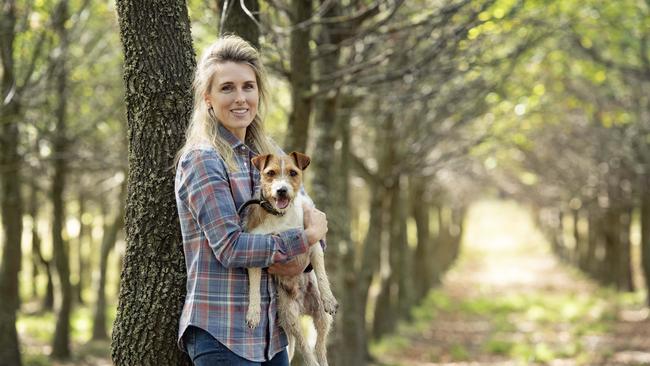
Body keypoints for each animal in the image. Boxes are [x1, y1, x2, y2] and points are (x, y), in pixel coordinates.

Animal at [240, 151, 336, 366]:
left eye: (293, 172)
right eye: (270, 173)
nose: (281, 190)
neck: (279, 216)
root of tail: (302, 308)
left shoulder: (312, 242)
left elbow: (321, 273)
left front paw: (329, 297)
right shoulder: (254, 251)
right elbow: (254, 287)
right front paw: (253, 312)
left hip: (321, 316)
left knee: (320, 347)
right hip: (289, 315)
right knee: (305, 348)